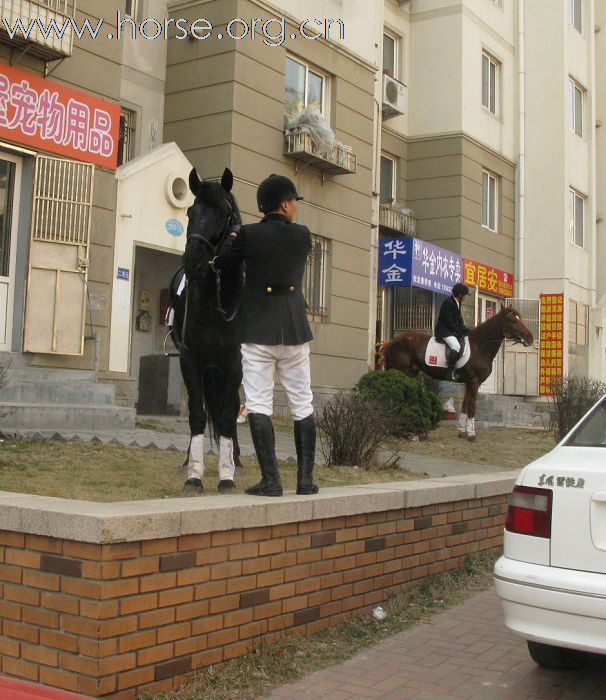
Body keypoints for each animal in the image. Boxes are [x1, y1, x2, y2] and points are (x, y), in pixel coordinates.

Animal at [388, 308, 536, 440]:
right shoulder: (474, 382)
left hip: (411, 374)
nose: (530, 338)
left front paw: (462, 432)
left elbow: (465, 405)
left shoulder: (468, 383)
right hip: (403, 373)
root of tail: (393, 341)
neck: (480, 346)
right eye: (512, 321)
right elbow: (472, 407)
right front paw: (471, 434)